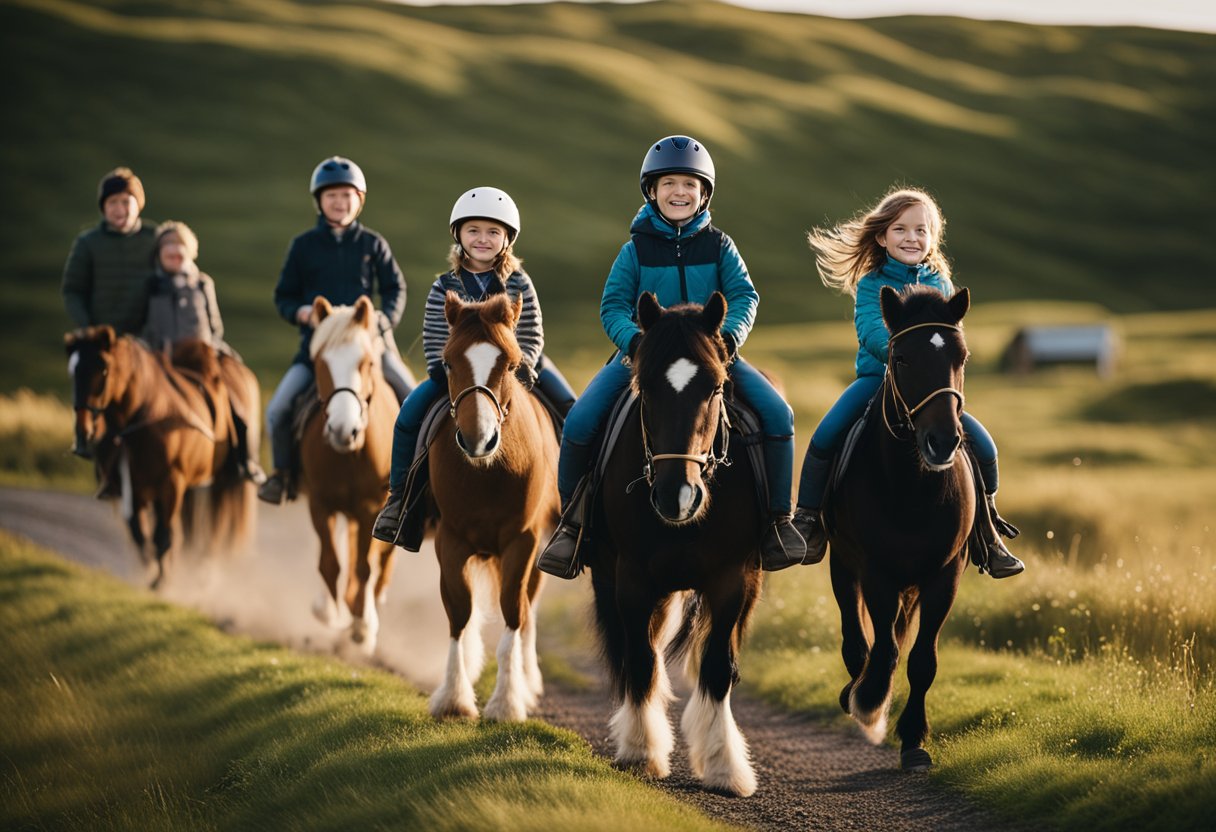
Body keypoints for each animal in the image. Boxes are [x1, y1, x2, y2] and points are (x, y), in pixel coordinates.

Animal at [65, 328, 254, 588]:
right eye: (71, 370)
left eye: (103, 368)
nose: (83, 433)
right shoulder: (133, 489)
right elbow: (140, 534)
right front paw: (151, 570)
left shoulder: (171, 485)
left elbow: (162, 535)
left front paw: (160, 581)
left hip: (222, 480)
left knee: (217, 523)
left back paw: (204, 568)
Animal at [299, 296, 398, 656]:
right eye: (319, 363)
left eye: (366, 363)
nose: (344, 430)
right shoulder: (320, 503)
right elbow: (331, 562)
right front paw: (331, 612)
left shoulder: (371, 509)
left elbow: (365, 566)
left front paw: (361, 626)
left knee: (380, 564)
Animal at [428, 290, 559, 720]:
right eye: (448, 362)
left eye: (512, 364)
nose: (478, 440)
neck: (486, 472)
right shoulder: (450, 541)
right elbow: (459, 612)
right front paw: (454, 696)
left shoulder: (523, 541)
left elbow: (513, 612)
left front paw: (506, 701)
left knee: (528, 606)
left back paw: (527, 679)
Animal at [586, 289, 758, 797]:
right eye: (645, 388)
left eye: (716, 388)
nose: (676, 496)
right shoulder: (631, 580)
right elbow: (641, 662)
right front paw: (641, 751)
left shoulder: (731, 581)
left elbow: (718, 667)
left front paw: (724, 767)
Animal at [822, 282, 972, 768]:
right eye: (901, 357)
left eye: (962, 357)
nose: (942, 441)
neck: (914, 489)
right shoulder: (877, 573)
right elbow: (883, 650)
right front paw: (869, 703)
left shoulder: (946, 574)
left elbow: (923, 659)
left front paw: (914, 740)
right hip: (842, 565)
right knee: (856, 642)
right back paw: (855, 692)